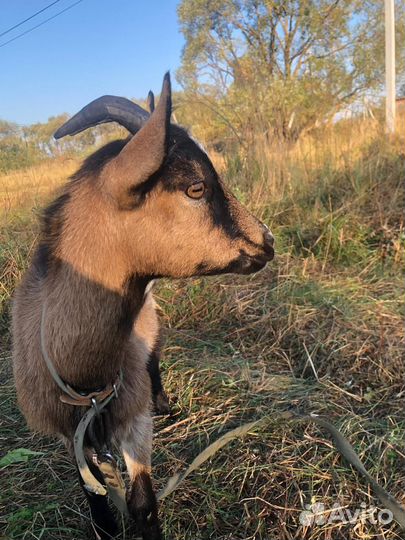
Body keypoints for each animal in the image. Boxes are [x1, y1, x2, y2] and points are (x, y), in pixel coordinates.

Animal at [11, 73, 274, 540]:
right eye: (196, 187)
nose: (268, 240)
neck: (88, 384)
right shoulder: (69, 437)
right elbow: (96, 499)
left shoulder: (134, 417)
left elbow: (144, 502)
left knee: (154, 358)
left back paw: (165, 400)